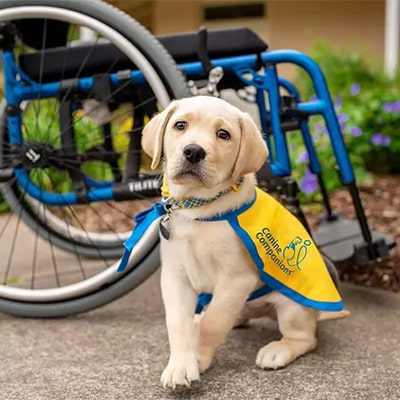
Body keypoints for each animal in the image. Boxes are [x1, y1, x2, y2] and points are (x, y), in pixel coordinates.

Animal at [142, 95, 340, 390]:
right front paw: (180, 365)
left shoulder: (237, 278)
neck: (197, 208)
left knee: (305, 337)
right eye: (180, 125)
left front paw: (198, 358)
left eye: (223, 134)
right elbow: (177, 323)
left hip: (292, 306)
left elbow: (214, 323)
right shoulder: (174, 275)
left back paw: (278, 349)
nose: (193, 151)